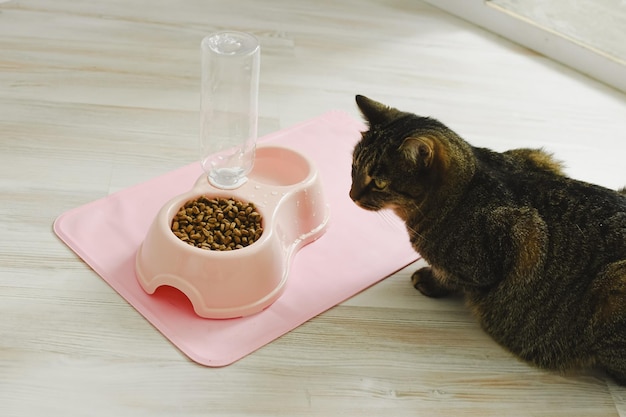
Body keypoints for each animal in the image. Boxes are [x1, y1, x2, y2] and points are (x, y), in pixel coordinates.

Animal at [348, 94, 624, 384]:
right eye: (354, 167)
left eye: (379, 183)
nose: (351, 195)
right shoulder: (538, 158)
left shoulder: (514, 239)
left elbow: (451, 278)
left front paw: (430, 281)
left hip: (614, 282)